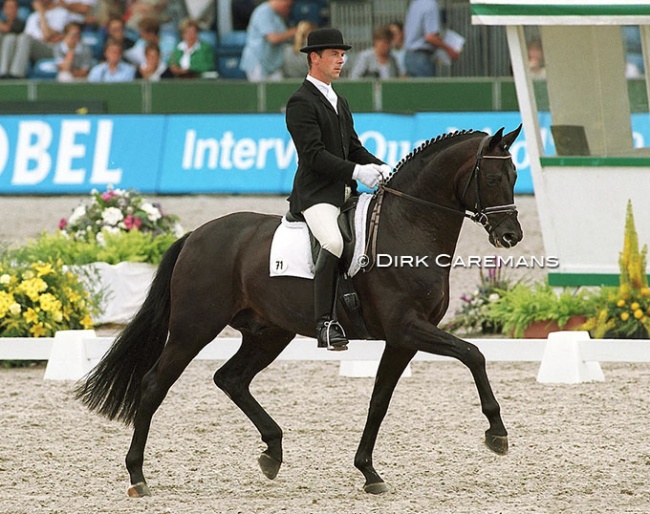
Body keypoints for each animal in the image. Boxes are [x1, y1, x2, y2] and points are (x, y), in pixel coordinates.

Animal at [76, 124, 520, 492]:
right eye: (492, 178)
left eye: (515, 177)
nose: (511, 236)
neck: (407, 224)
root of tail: (195, 235)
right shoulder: (406, 328)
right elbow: (473, 354)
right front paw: (497, 433)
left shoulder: (402, 339)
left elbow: (379, 400)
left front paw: (368, 471)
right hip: (193, 328)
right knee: (154, 384)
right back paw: (137, 475)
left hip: (270, 332)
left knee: (231, 378)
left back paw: (272, 451)